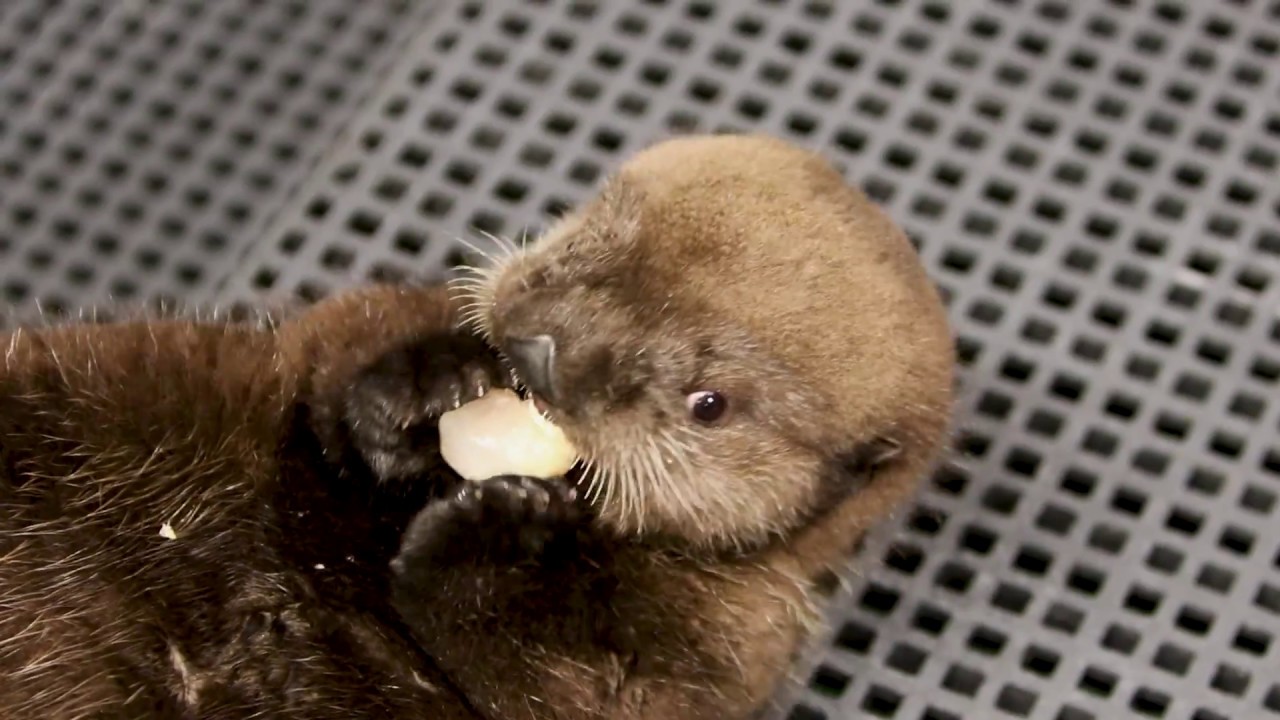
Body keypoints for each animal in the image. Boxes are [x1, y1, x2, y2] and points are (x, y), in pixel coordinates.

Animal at [0, 134, 953, 719]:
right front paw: (429, 386)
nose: (539, 352)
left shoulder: (731, 645)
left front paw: (499, 532)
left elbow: (565, 695)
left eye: (708, 404)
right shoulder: (375, 310)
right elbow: (321, 360)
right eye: (604, 235)